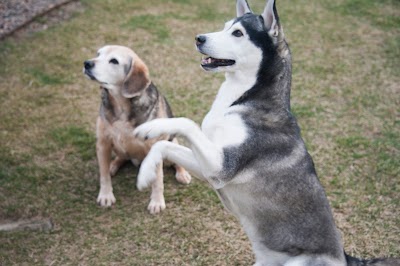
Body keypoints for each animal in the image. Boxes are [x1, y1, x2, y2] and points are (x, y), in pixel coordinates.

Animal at [82, 45, 191, 214]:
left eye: (114, 61)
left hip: (173, 143)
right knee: (120, 158)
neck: (121, 105)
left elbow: (158, 181)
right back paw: (113, 165)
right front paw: (106, 195)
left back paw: (182, 173)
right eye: (98, 54)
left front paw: (157, 202)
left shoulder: (155, 147)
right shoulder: (102, 144)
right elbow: (103, 175)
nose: (87, 63)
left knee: (175, 163)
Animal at [133, 1, 398, 264]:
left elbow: (185, 123)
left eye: (237, 33)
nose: (199, 38)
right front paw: (146, 172)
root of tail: (345, 257)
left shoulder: (222, 166)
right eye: (225, 26)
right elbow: (163, 145)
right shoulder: (210, 169)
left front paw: (152, 128)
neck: (245, 98)